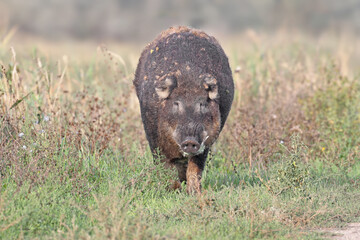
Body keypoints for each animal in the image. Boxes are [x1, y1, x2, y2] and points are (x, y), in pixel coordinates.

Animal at [134, 26, 235, 194]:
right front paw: (172, 191)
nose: (190, 140)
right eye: (176, 103)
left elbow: (195, 167)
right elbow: (165, 166)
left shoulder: (206, 142)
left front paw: (194, 193)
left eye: (202, 104)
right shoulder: (154, 138)